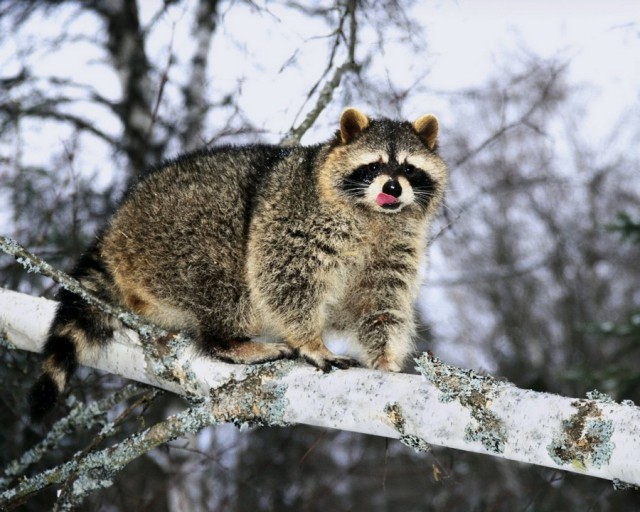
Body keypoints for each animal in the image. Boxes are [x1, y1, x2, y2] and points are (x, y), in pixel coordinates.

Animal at [28, 107, 444, 420]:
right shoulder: (294, 218)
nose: (393, 188)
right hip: (173, 234)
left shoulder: (395, 248)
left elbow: (381, 303)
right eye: (373, 167)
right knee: (225, 277)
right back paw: (228, 340)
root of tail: (114, 229)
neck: (376, 217)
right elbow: (283, 277)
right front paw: (310, 340)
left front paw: (385, 357)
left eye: (408, 169)